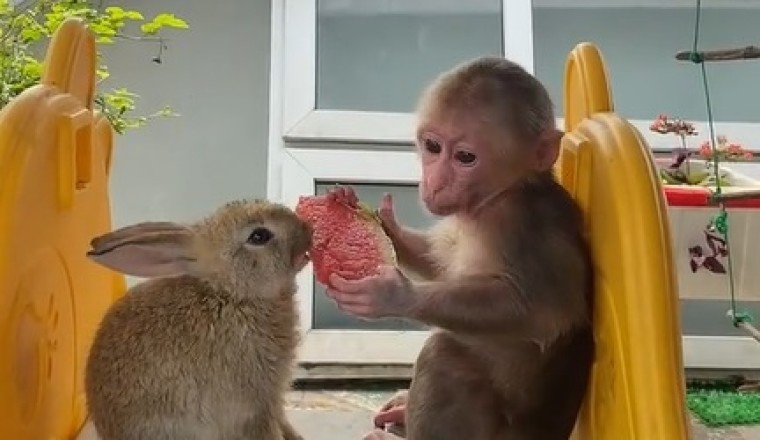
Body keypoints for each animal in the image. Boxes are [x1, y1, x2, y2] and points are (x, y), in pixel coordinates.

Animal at [324, 56, 596, 438]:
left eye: (466, 157)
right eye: (433, 147)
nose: (434, 183)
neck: (499, 194)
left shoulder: (520, 225)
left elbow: (542, 315)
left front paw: (394, 295)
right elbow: (439, 262)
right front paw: (384, 225)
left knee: (443, 354)